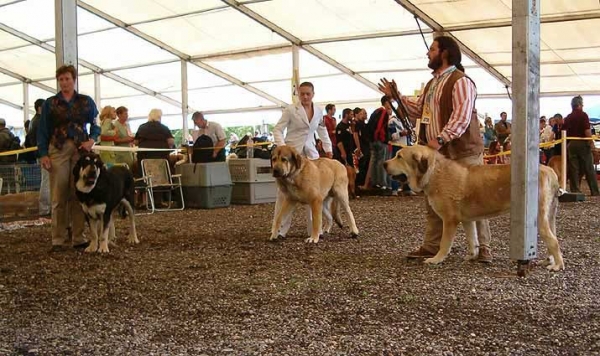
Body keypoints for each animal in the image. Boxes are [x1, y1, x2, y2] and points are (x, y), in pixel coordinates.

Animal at [384, 145, 564, 270]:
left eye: (399, 156)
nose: (384, 163)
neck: (434, 172)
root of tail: (550, 171)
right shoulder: (467, 220)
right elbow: (472, 239)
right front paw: (471, 256)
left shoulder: (449, 220)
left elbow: (444, 243)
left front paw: (436, 259)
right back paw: (551, 260)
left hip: (538, 218)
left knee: (554, 240)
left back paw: (557, 266)